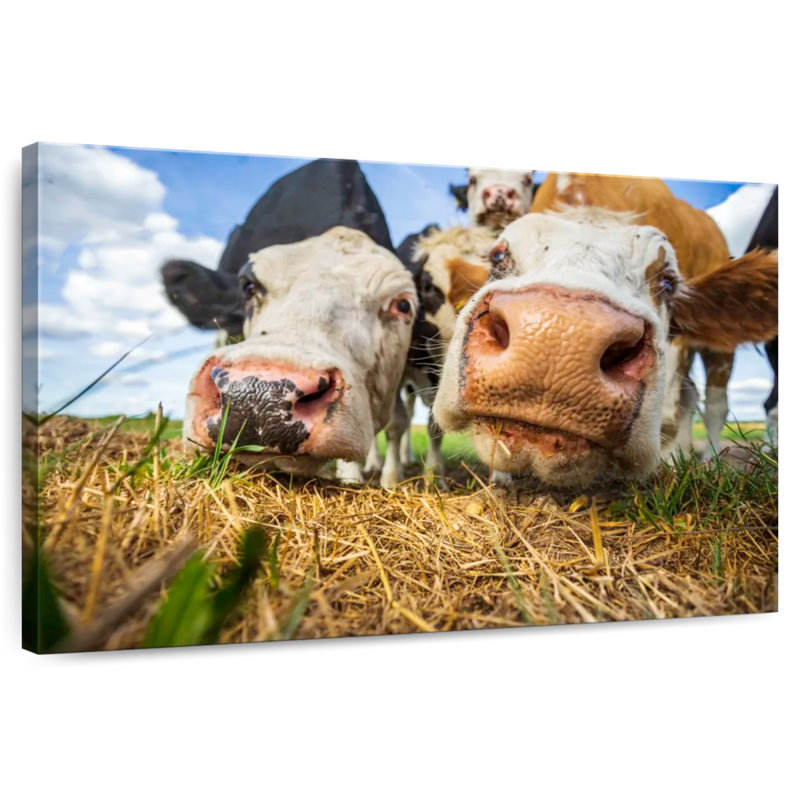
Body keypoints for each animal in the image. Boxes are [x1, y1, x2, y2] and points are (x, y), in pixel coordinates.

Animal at [432, 207, 778, 488]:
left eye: (668, 282)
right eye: (498, 256)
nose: (559, 335)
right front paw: (501, 478)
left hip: (718, 354)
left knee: (715, 405)